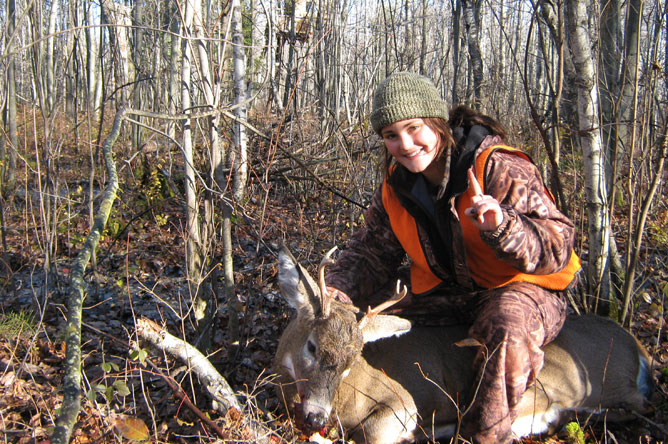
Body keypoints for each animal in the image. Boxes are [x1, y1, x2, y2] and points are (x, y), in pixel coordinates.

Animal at [274, 248, 656, 442]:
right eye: (312, 346)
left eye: (352, 360)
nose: (316, 415)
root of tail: (638, 346)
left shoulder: (402, 401)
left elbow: (370, 433)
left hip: (583, 381)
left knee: (639, 405)